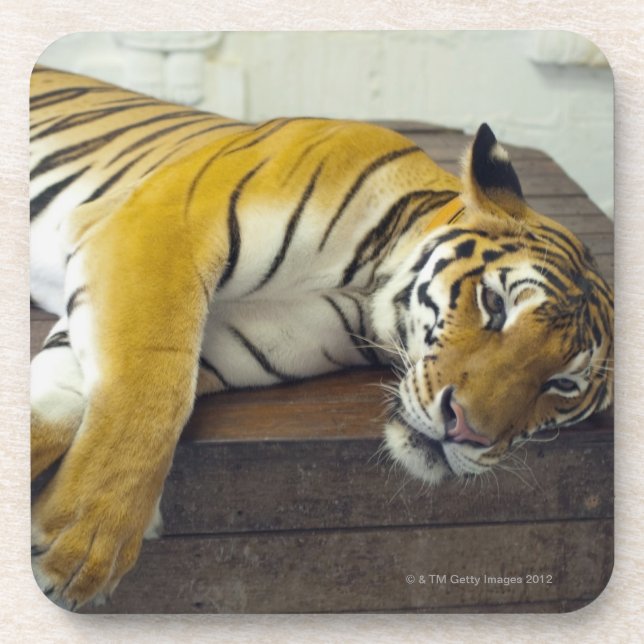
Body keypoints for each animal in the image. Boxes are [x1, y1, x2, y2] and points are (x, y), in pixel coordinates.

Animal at [29, 66, 614, 609]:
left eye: (561, 384)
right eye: (494, 305)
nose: (466, 430)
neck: (371, 292)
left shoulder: (232, 334)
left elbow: (73, 398)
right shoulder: (163, 227)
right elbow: (153, 391)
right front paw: (83, 548)